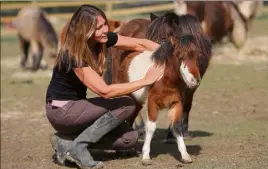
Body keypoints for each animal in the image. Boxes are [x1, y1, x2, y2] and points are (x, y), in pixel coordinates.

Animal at [109, 12, 211, 165]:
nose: (194, 80)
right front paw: (146, 157)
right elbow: (151, 127)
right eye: (180, 55)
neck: (164, 79)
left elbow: (176, 126)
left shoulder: (177, 103)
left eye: (196, 55)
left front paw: (185, 155)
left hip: (137, 102)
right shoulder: (152, 103)